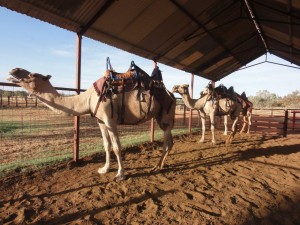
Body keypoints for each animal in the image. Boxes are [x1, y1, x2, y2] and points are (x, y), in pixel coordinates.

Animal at [7, 67, 176, 181]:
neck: (87, 99)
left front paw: (120, 175)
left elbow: (117, 147)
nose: (13, 70)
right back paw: (160, 165)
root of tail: (172, 95)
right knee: (170, 141)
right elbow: (107, 145)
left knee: (167, 141)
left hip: (166, 116)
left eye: (32, 75)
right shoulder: (100, 121)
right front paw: (104, 169)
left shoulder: (110, 120)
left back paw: (156, 167)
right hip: (160, 117)